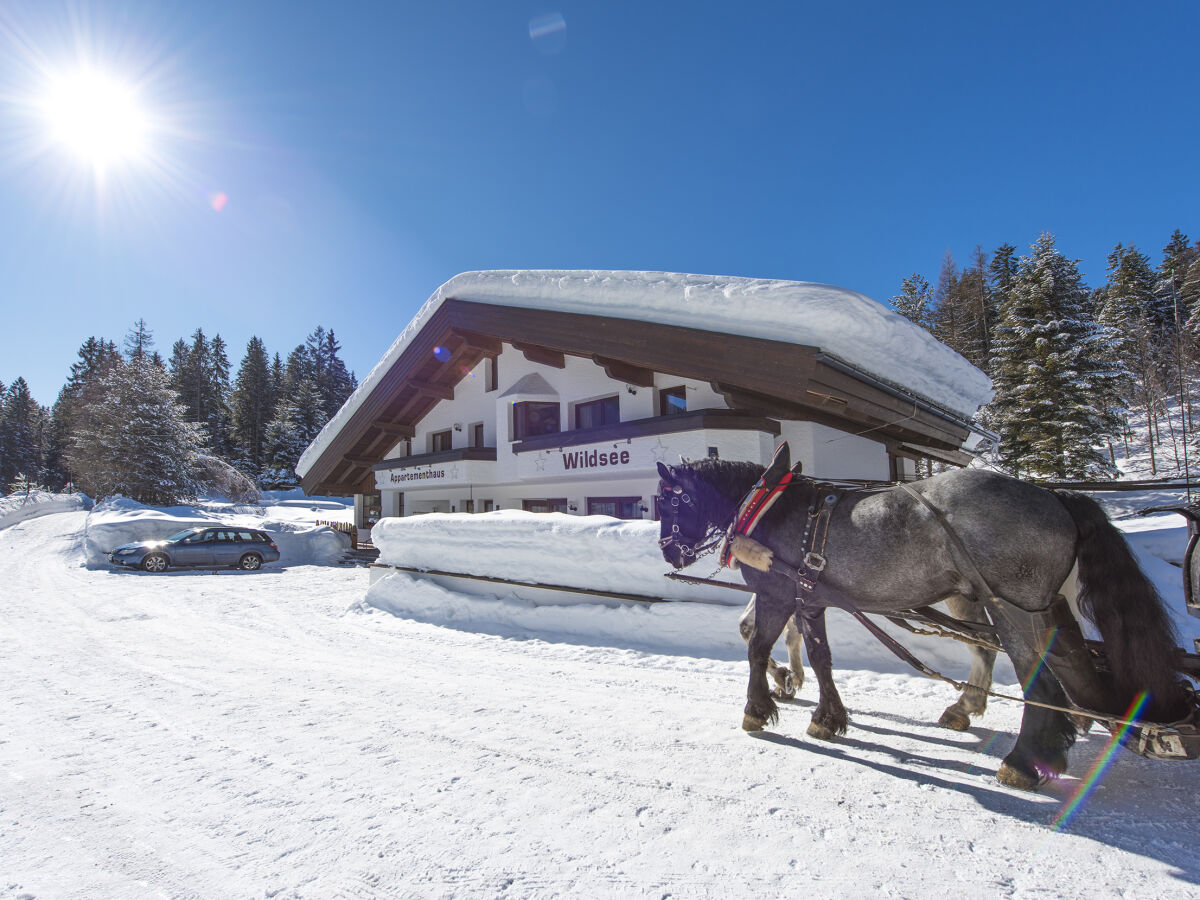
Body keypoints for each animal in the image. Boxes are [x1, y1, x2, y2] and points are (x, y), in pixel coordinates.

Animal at [657, 458, 1190, 787]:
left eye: (673, 500)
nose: (669, 552)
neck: (769, 507)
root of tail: (1055, 496)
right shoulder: (810, 599)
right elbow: (822, 658)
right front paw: (827, 717)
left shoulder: (775, 592)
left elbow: (756, 647)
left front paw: (758, 709)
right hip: (1036, 607)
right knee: (1063, 663)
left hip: (1012, 607)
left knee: (1035, 677)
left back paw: (1022, 761)